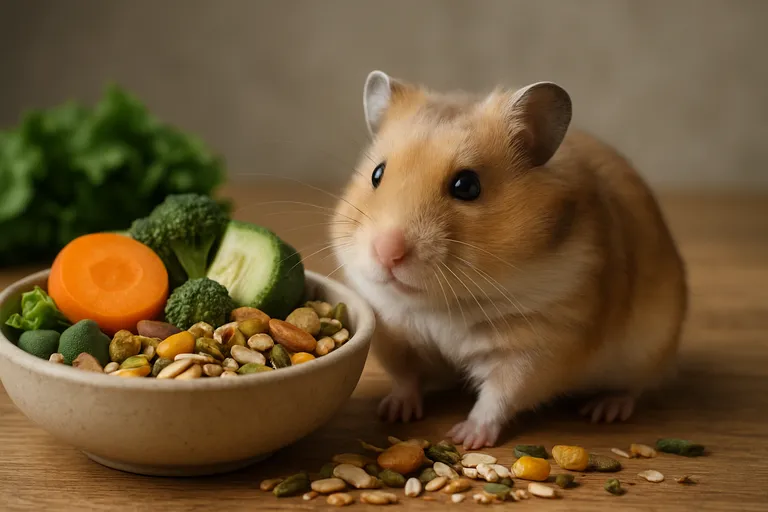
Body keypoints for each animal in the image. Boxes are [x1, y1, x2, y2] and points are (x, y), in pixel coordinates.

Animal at [331, 70, 688, 449]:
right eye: (376, 174)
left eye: (467, 186)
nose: (386, 252)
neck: (442, 305)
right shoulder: (394, 334)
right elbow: (405, 378)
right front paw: (393, 412)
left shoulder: (539, 347)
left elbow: (498, 397)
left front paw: (465, 438)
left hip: (649, 348)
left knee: (633, 388)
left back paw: (604, 410)